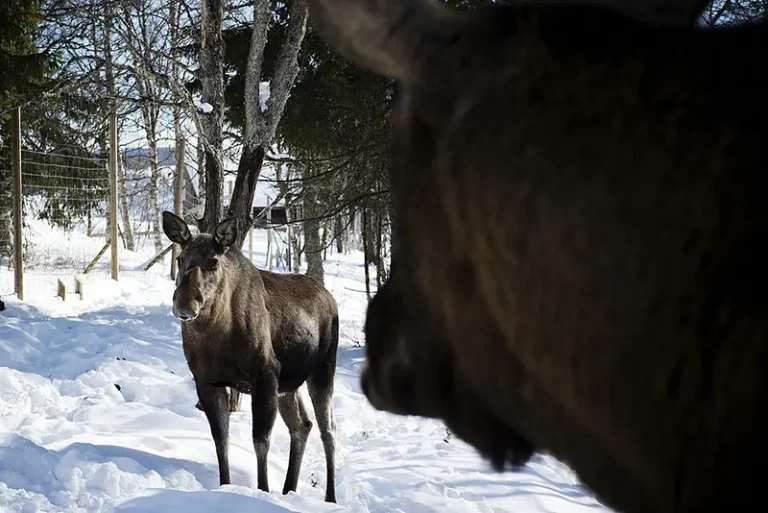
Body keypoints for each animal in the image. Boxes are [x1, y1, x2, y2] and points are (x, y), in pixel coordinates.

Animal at [162, 211, 339, 503]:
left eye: (213, 262)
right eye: (179, 259)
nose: (185, 304)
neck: (216, 338)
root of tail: (330, 297)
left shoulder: (264, 375)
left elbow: (260, 441)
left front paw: (263, 490)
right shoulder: (207, 381)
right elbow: (220, 439)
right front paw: (225, 486)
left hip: (323, 369)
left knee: (329, 430)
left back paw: (330, 497)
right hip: (288, 385)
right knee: (302, 425)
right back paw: (289, 488)